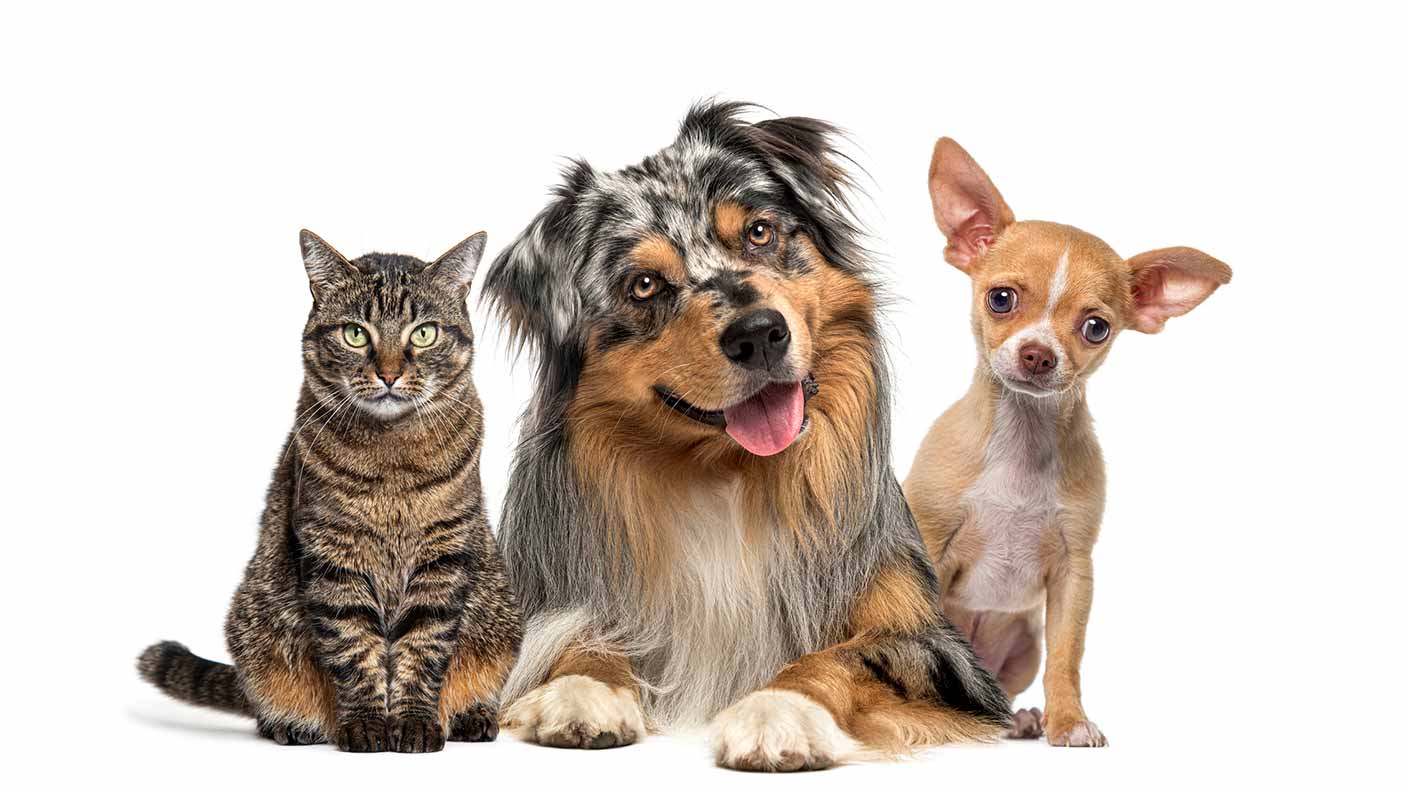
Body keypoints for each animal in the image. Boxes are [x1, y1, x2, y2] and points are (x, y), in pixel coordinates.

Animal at [138, 230, 523, 753]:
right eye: (355, 334)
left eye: (423, 333)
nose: (388, 373)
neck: (392, 461)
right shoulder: (332, 553)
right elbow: (353, 646)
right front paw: (366, 725)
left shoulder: (443, 556)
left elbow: (423, 647)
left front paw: (415, 722)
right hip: (253, 622)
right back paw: (290, 723)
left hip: (500, 616)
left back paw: (472, 716)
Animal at [483, 101, 1012, 769]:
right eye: (644, 285)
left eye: (759, 232)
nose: (758, 333)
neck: (729, 473)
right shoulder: (555, 605)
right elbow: (578, 639)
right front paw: (581, 688)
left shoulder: (934, 644)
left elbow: (845, 657)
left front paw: (778, 710)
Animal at [905, 137, 1226, 747]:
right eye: (1000, 299)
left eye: (1096, 328)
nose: (1038, 354)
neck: (1023, 441)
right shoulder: (930, 544)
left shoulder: (1074, 574)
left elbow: (1068, 656)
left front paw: (1069, 719)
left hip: (1022, 644)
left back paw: (1018, 718)